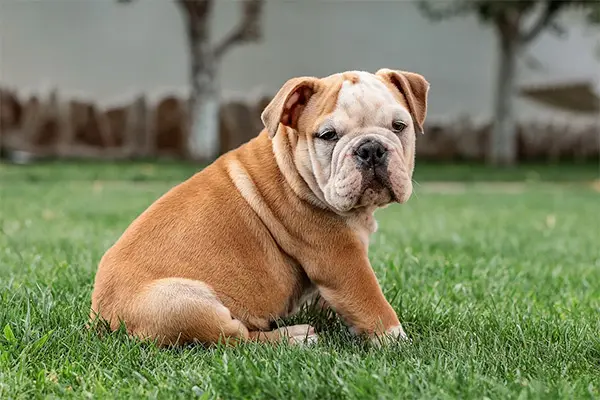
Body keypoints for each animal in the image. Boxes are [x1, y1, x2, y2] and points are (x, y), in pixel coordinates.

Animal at [89, 68, 428, 346]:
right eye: (328, 135)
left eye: (399, 126)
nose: (371, 148)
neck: (292, 166)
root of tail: (100, 318)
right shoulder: (341, 258)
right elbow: (371, 301)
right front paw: (397, 342)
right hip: (181, 303)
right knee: (236, 338)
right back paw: (294, 337)